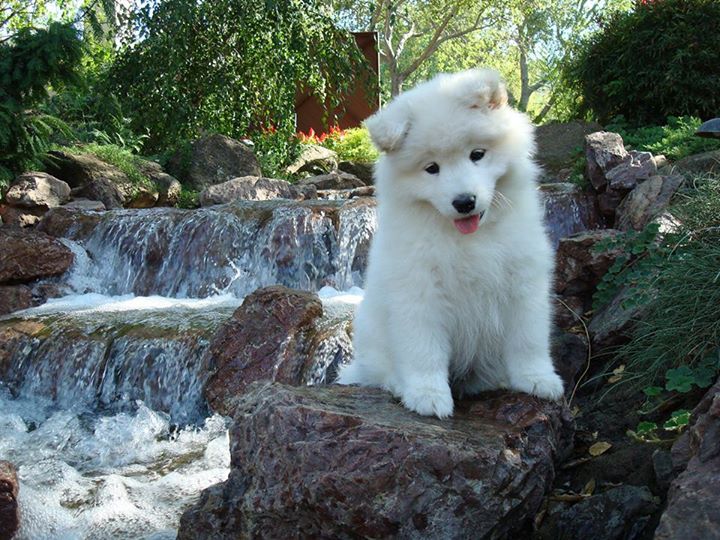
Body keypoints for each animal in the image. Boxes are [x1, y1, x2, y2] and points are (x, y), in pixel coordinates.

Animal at [334, 68, 564, 418]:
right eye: (432, 168)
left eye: (477, 155)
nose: (464, 202)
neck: (470, 238)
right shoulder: (419, 292)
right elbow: (423, 349)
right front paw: (428, 395)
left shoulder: (524, 283)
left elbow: (528, 339)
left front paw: (537, 379)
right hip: (373, 335)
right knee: (382, 372)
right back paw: (399, 384)